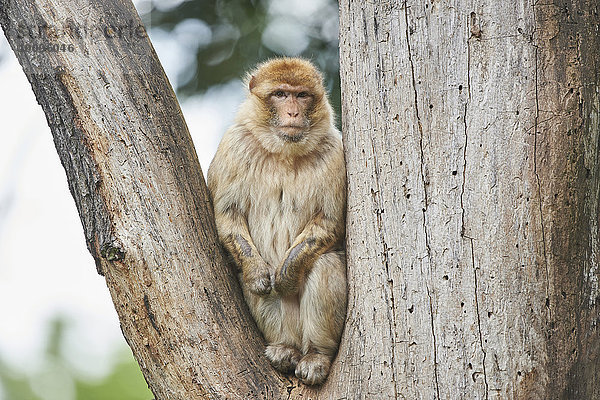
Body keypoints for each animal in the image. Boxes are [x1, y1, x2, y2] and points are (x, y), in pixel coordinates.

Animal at [207, 57, 346, 386]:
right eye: (281, 94)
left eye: (302, 95)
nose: (293, 112)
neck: (284, 152)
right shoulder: (234, 146)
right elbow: (228, 214)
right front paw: (259, 274)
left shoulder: (334, 152)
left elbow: (330, 222)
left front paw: (287, 275)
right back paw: (285, 349)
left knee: (325, 264)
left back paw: (316, 356)